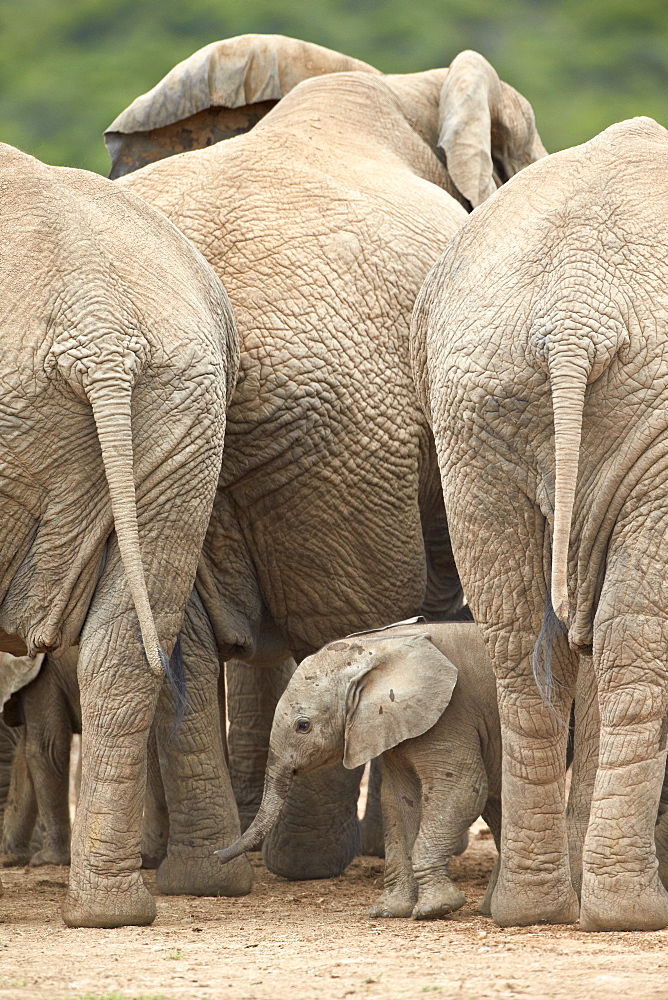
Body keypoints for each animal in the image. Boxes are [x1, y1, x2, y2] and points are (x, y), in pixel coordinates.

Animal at [111, 31, 544, 880]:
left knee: (183, 633)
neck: (404, 87)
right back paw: (308, 862)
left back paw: (205, 878)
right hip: (336, 432)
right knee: (336, 617)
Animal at [217, 616, 498, 920]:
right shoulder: (397, 722)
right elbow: (400, 801)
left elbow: (461, 789)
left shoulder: (451, 713)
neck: (380, 646)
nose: (218, 855)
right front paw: (388, 911)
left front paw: (435, 908)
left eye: (302, 726)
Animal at [410, 121, 668, 932]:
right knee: (628, 634)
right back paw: (628, 912)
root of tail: (574, 317)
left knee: (523, 633)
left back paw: (529, 906)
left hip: (474, 404)